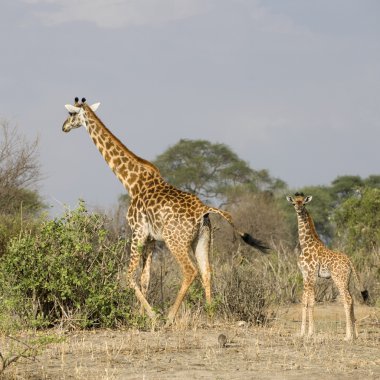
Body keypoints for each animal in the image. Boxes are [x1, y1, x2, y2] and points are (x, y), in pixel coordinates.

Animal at [61, 97, 268, 324]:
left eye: (71, 114)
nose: (63, 127)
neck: (132, 183)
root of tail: (204, 210)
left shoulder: (137, 231)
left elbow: (129, 275)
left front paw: (150, 315)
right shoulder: (151, 238)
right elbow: (145, 278)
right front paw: (141, 317)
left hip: (175, 240)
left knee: (190, 271)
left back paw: (170, 317)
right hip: (202, 239)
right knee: (207, 271)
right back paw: (210, 314)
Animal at [288, 191, 368, 340]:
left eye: (304, 203)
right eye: (294, 203)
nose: (299, 209)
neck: (305, 244)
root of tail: (349, 260)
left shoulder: (312, 274)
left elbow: (311, 302)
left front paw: (310, 333)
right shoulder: (305, 275)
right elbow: (304, 301)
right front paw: (302, 333)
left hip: (338, 279)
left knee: (347, 299)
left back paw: (348, 336)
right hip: (346, 280)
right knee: (352, 300)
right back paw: (354, 335)